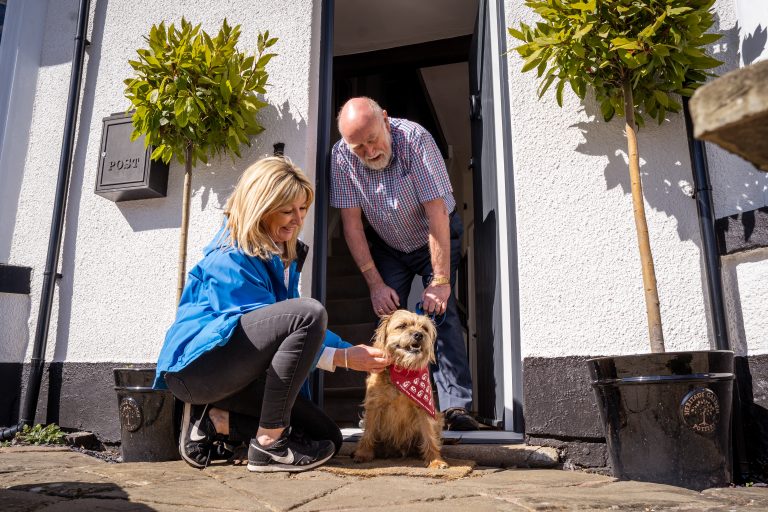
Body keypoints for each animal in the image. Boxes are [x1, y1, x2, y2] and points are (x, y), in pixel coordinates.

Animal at [352, 308, 448, 468]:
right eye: (402, 326)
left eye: (424, 328)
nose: (419, 335)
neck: (402, 369)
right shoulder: (374, 405)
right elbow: (369, 432)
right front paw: (363, 453)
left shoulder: (423, 408)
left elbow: (429, 435)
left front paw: (435, 459)